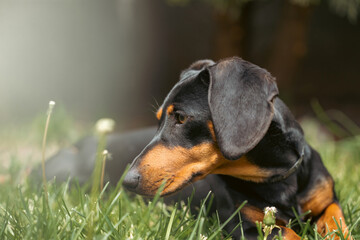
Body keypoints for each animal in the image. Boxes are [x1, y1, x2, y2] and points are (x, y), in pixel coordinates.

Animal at [122, 57, 352, 239]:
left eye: (180, 117)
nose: (127, 181)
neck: (278, 179)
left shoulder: (329, 199)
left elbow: (336, 221)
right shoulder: (242, 224)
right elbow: (288, 233)